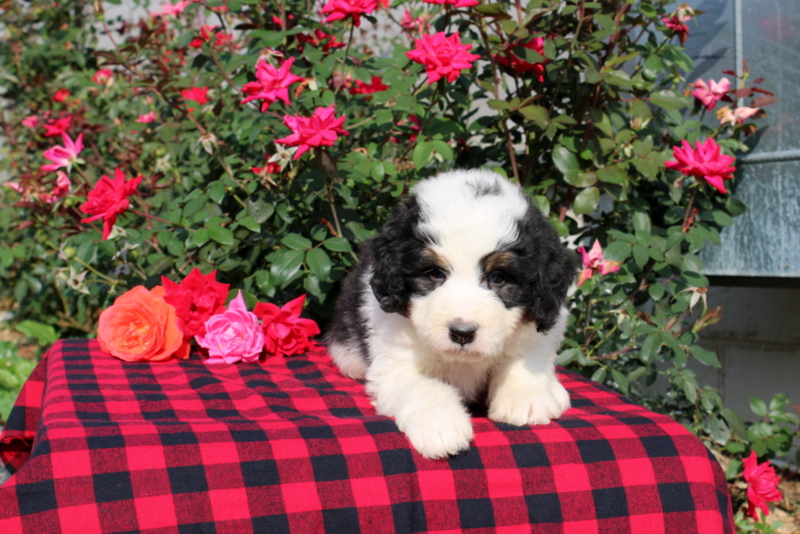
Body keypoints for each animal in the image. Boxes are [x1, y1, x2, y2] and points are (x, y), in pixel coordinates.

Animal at [324, 171, 576, 460]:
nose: (462, 333)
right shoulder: (394, 359)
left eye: (498, 277)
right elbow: (422, 385)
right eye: (434, 273)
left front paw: (524, 400)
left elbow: (524, 358)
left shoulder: (541, 325)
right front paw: (440, 424)